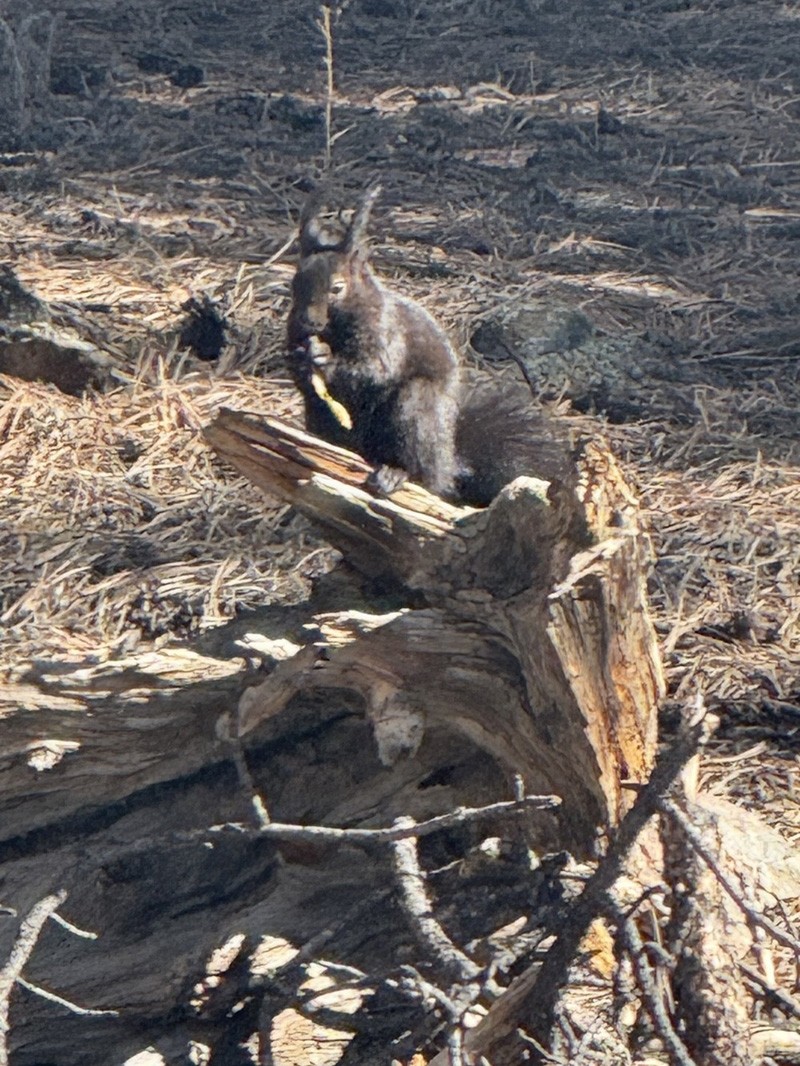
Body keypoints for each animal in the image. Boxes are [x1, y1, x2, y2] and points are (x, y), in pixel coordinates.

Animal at [287, 186, 572, 507]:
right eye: (294, 283)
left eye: (337, 287)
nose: (307, 321)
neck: (335, 328)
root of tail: (449, 464)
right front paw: (300, 359)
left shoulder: (388, 333)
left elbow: (375, 369)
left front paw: (324, 357)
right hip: (320, 415)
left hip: (418, 408)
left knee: (425, 476)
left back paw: (396, 473)